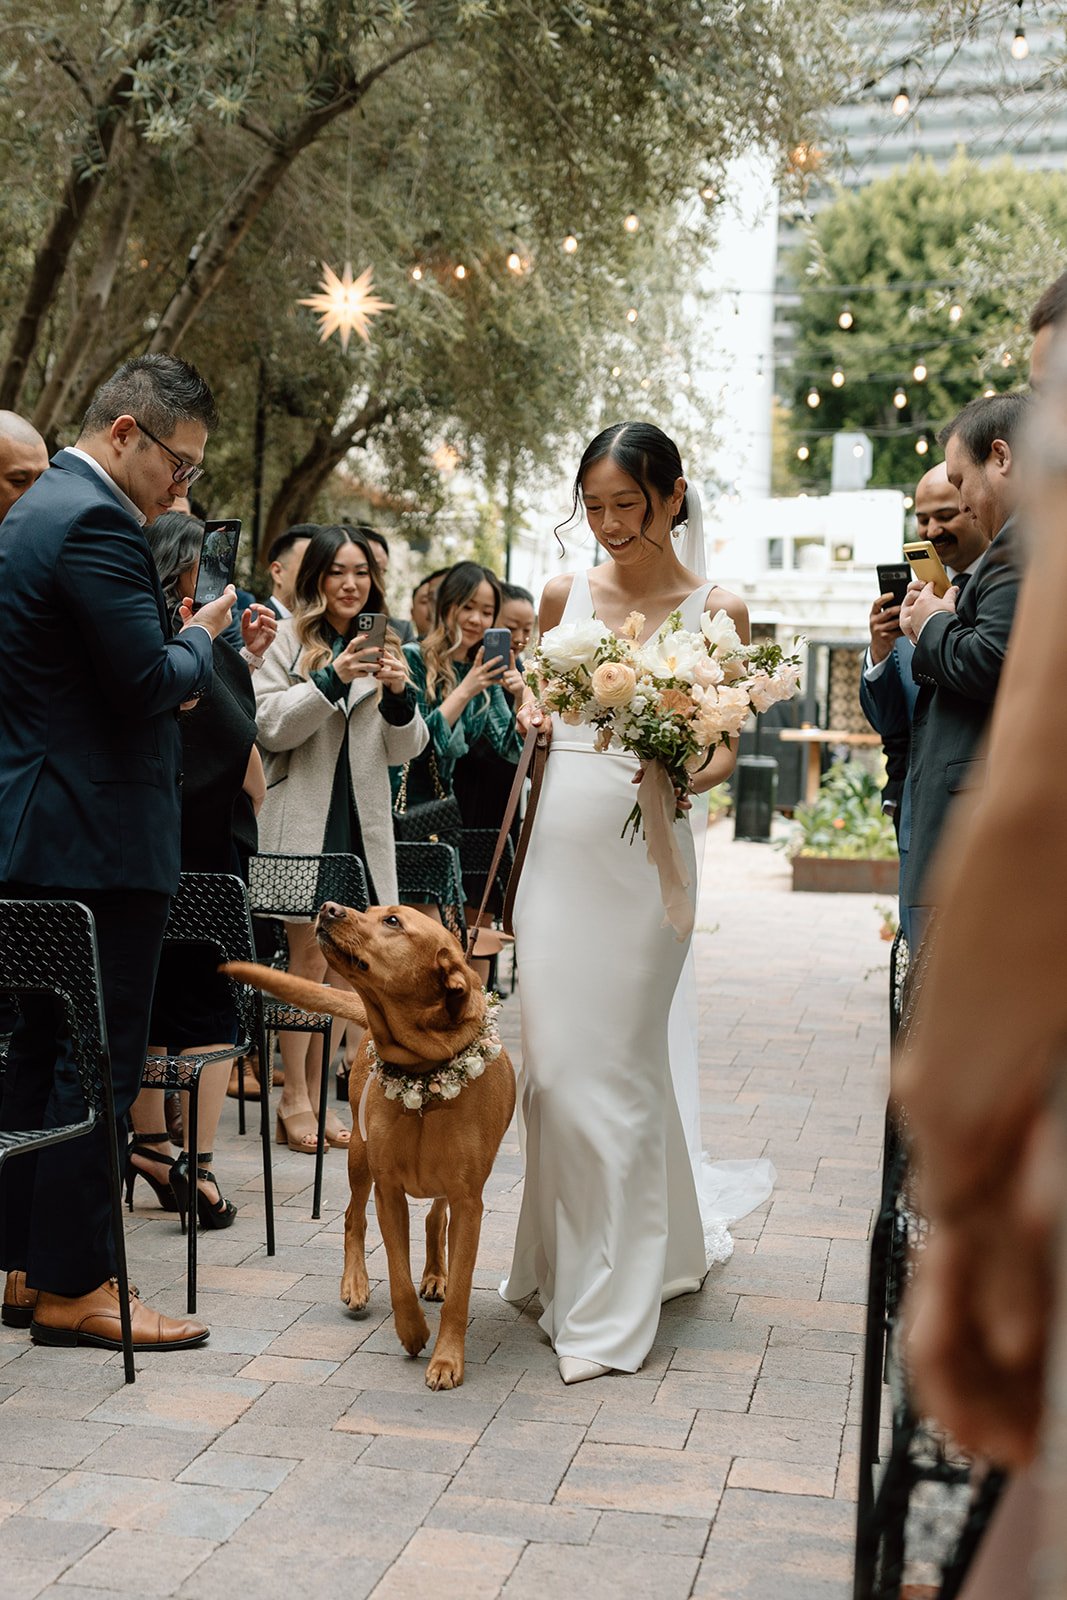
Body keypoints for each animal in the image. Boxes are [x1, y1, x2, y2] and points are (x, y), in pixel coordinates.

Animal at [223, 902, 515, 1388]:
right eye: (374, 909)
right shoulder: (388, 1191)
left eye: (393, 921)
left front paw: (446, 1359)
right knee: (351, 1218)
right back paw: (355, 1283)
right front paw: (413, 1332)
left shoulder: (470, 1201)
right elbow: (396, 1275)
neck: (423, 1075)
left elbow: (459, 1292)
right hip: (359, 1159)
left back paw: (435, 1274)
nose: (327, 907)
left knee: (435, 1219)